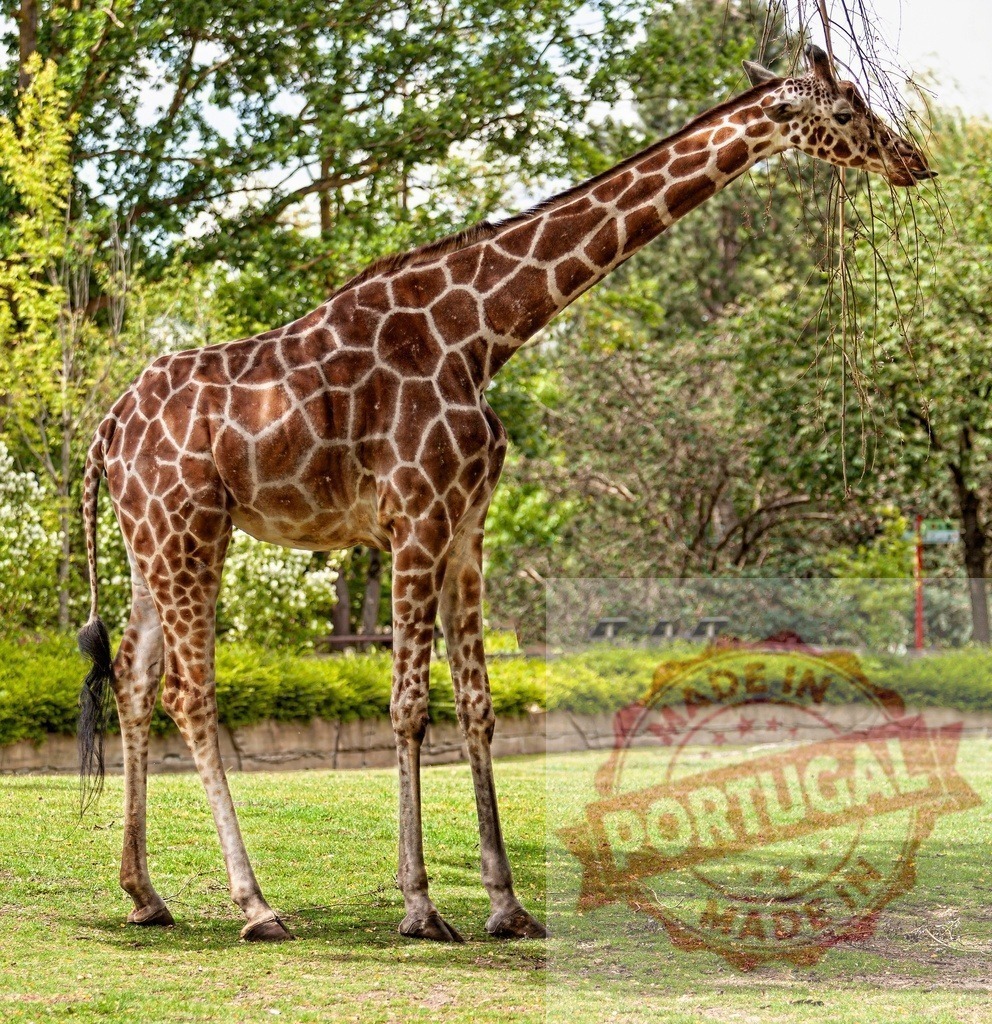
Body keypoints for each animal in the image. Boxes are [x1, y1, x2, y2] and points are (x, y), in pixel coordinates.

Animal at [77, 45, 934, 944]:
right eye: (845, 111)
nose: (914, 160)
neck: (482, 334)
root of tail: (108, 428)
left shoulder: (467, 524)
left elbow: (479, 704)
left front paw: (507, 904)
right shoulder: (416, 514)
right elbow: (409, 705)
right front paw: (421, 907)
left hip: (149, 542)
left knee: (135, 684)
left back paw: (144, 892)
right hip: (190, 531)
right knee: (190, 694)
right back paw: (256, 904)